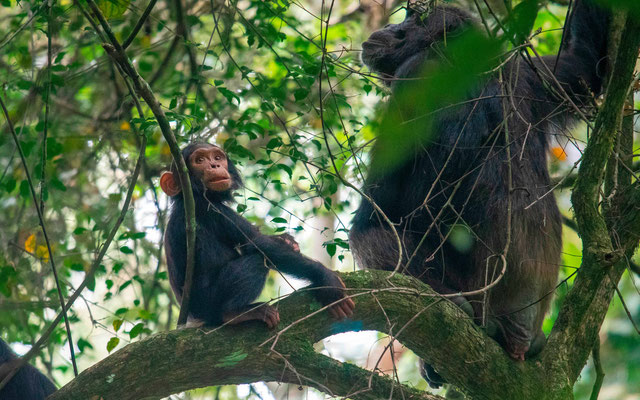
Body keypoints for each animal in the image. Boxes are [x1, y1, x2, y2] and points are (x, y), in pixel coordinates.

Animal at [160, 142, 358, 326]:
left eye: (217, 157)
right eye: (199, 160)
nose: (214, 165)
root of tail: (195, 318)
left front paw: (288, 241)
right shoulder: (210, 210)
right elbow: (258, 244)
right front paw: (327, 279)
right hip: (210, 302)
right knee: (256, 261)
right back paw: (234, 313)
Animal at [350, 0, 608, 386]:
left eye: (414, 17)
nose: (391, 27)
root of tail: (520, 336)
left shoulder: (415, 75)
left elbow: (379, 209)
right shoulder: (534, 74)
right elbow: (588, 62)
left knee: (369, 239)